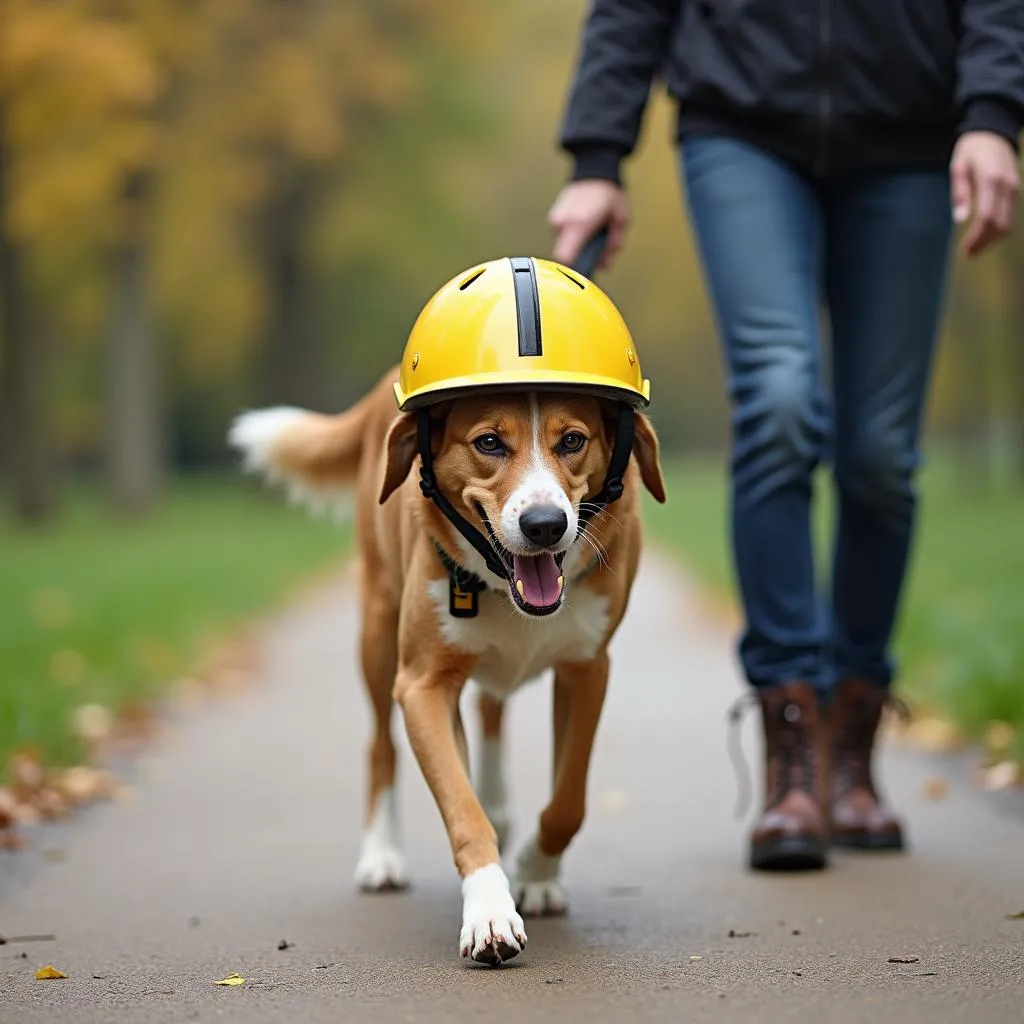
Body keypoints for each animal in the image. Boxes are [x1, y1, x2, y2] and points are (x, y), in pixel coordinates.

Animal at [228, 262, 667, 958]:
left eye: (573, 440)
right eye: (489, 442)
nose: (546, 525)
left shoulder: (588, 669)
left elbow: (568, 800)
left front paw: (537, 871)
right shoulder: (423, 686)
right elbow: (461, 808)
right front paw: (489, 907)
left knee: (490, 709)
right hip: (377, 639)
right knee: (381, 746)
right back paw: (382, 856)